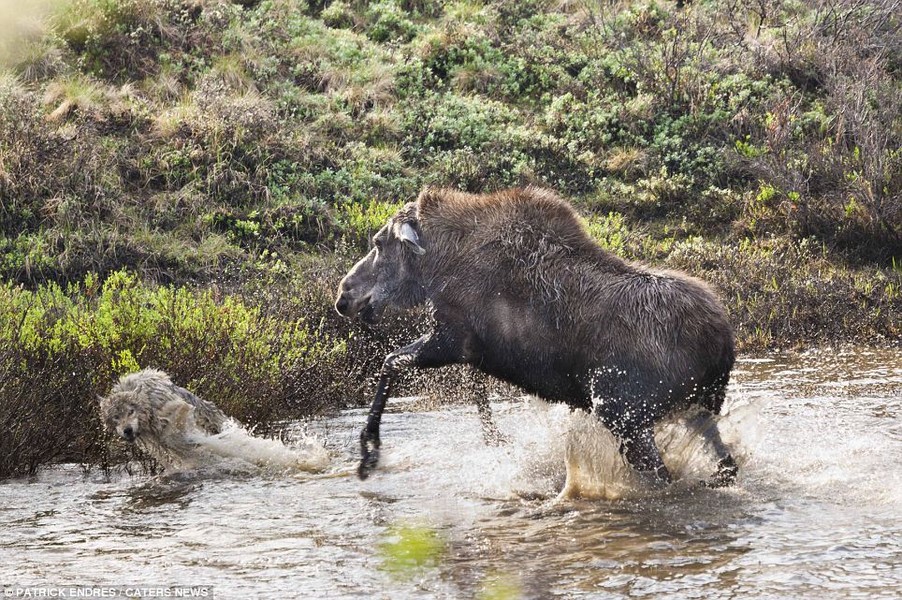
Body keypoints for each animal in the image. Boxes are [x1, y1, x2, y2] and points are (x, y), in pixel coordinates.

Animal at [336, 188, 740, 488]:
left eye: (379, 243)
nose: (344, 294)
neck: (438, 265)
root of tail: (721, 343)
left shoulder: (451, 338)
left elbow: (390, 362)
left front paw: (369, 451)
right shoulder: (471, 349)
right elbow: (476, 395)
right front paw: (497, 442)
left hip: (623, 412)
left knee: (663, 476)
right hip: (699, 407)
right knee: (727, 465)